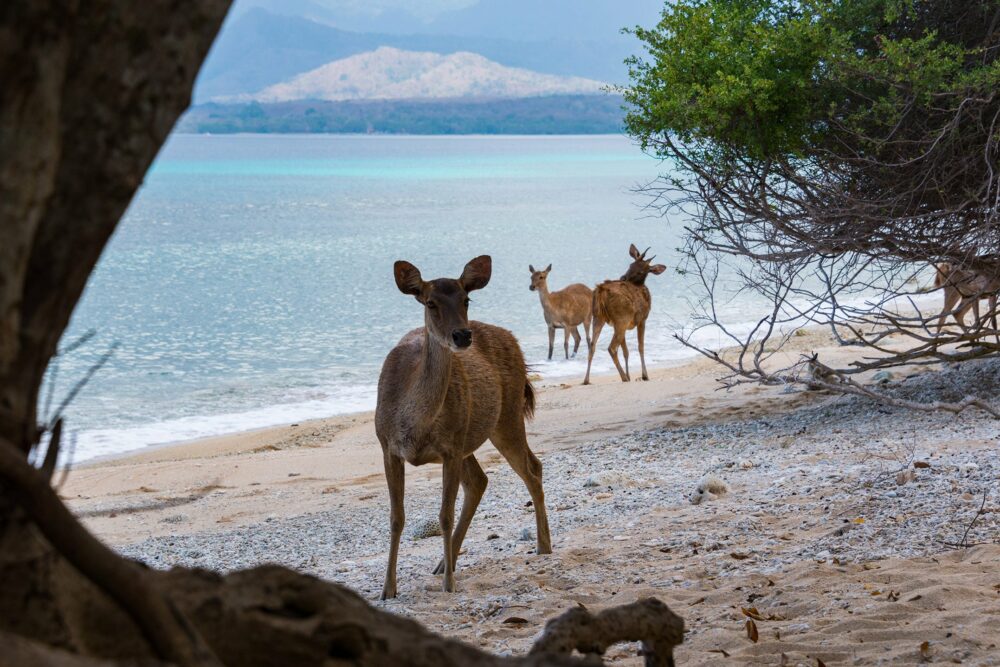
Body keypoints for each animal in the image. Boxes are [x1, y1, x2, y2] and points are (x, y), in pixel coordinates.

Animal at [376, 258, 552, 600]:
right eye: (430, 302)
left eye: (466, 299)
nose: (462, 336)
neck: (413, 423)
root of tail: (514, 341)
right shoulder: (387, 446)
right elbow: (395, 518)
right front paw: (388, 589)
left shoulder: (451, 448)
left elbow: (444, 515)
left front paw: (449, 586)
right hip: (471, 435)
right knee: (480, 480)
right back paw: (445, 563)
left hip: (506, 417)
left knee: (531, 467)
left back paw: (543, 546)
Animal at [584, 244, 668, 386]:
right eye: (631, 264)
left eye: (641, 272)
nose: (623, 277)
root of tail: (601, 291)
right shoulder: (642, 319)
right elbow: (640, 347)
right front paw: (644, 375)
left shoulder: (617, 324)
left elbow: (626, 351)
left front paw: (631, 374)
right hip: (621, 318)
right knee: (611, 348)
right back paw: (623, 377)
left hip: (599, 317)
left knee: (592, 346)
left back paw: (586, 380)